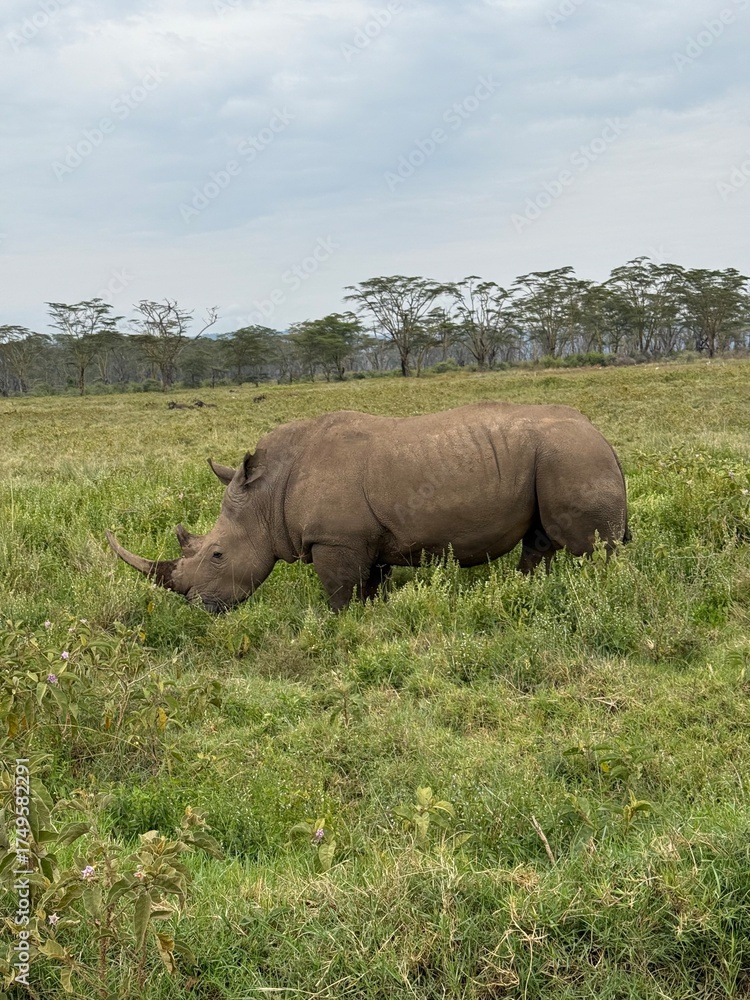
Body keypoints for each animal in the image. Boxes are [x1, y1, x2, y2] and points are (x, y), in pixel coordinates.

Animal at [106, 403, 629, 613]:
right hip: (561, 457)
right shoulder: (365, 540)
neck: (267, 496)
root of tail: (602, 434)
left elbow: (340, 595)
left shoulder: (336, 540)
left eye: (216, 555)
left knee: (590, 548)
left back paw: (604, 593)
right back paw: (528, 591)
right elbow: (370, 588)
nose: (198, 606)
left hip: (572, 457)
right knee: (539, 541)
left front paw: (339, 628)